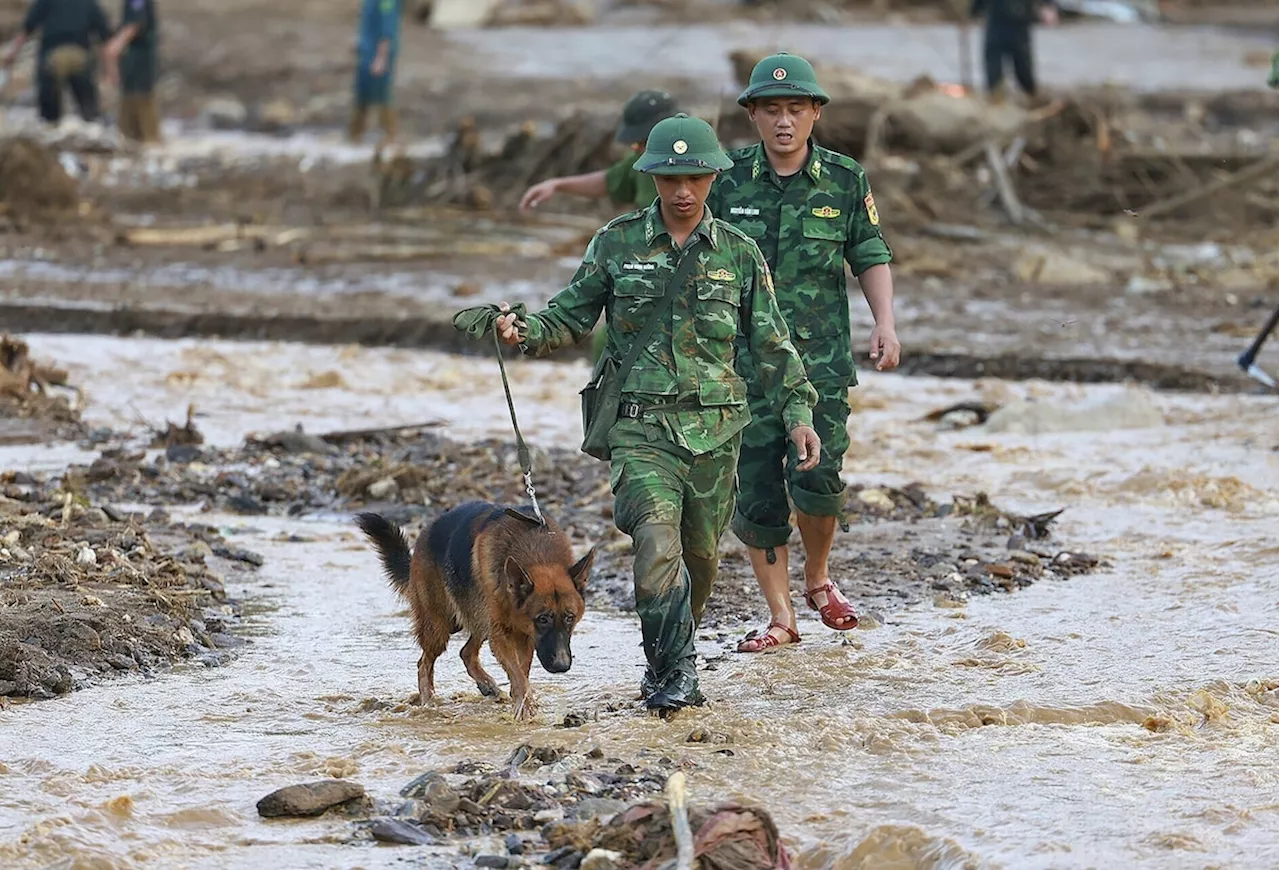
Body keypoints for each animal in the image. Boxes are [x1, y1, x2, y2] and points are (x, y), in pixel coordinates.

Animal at [355, 504, 593, 721]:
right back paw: (429, 703)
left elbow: (521, 673)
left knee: (466, 652)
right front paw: (524, 708)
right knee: (424, 664)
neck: (538, 554)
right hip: (440, 627)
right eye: (543, 619)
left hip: (477, 619)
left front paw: (522, 702)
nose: (562, 666)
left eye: (569, 617)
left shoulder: (523, 636)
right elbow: (517, 675)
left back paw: (486, 685)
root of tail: (424, 535)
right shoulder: (503, 635)